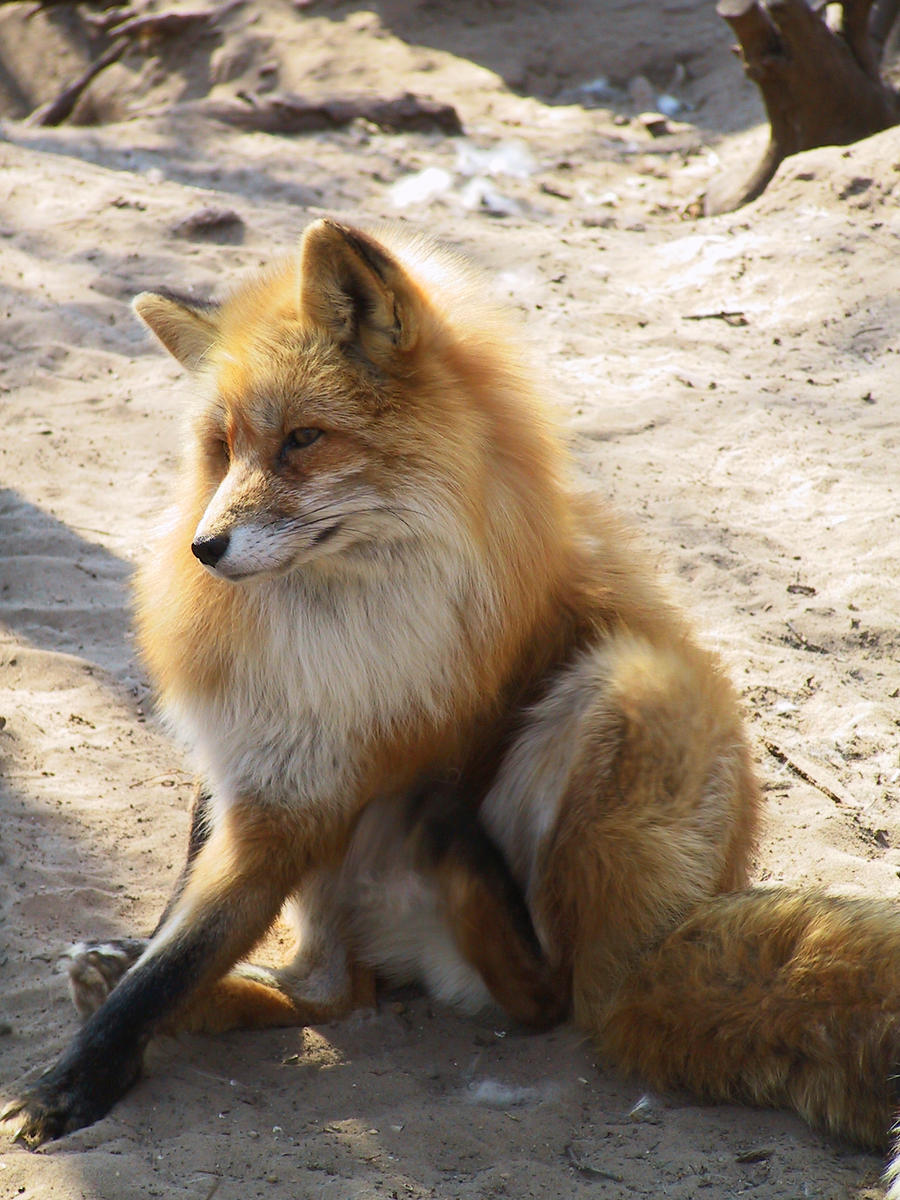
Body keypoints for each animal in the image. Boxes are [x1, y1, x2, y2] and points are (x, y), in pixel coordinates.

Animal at [5, 219, 900, 1190]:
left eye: (304, 439)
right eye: (225, 446)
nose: (205, 547)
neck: (317, 624)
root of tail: (660, 940)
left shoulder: (298, 800)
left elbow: (173, 967)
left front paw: (72, 1083)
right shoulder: (249, 752)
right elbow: (181, 933)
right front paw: (122, 1017)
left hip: (636, 688)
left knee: (548, 997)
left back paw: (459, 856)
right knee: (334, 990)